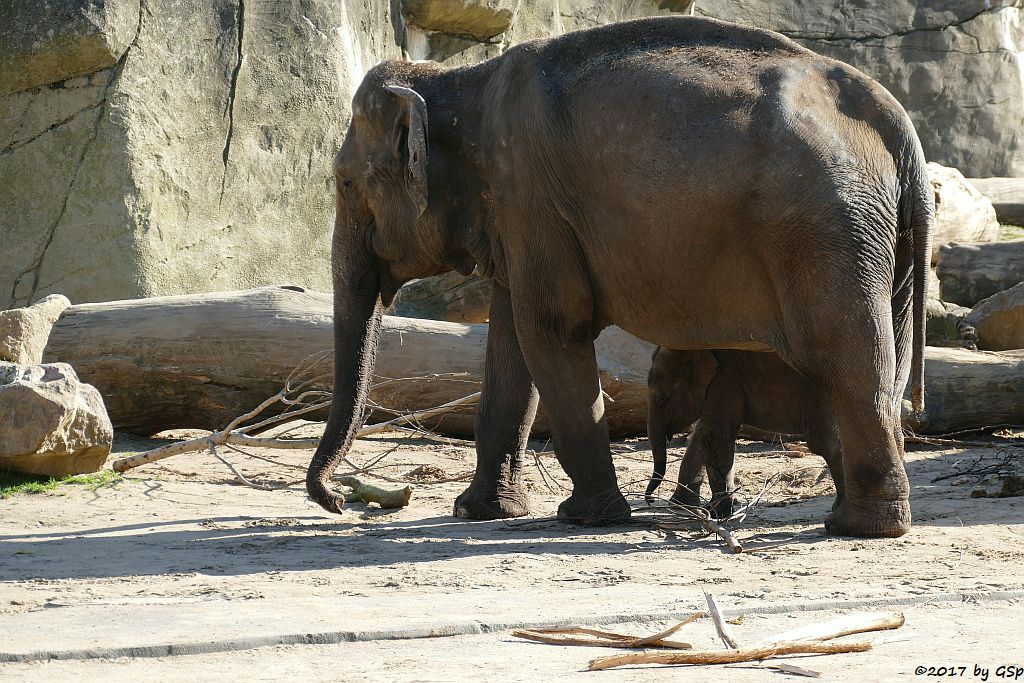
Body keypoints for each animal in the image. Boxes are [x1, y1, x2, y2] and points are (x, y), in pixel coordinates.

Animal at [651, 348, 843, 518]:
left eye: (663, 399)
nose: (650, 501)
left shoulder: (726, 378)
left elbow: (715, 435)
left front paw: (716, 513)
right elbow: (705, 433)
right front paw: (687, 507)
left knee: (824, 444)